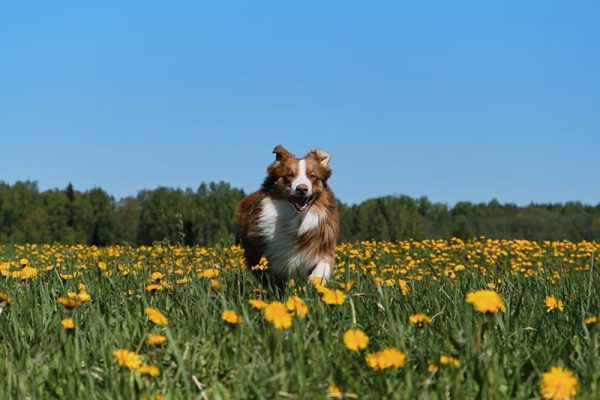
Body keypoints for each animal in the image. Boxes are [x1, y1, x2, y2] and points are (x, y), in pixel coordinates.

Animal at [234, 145, 338, 282]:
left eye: (313, 176)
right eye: (290, 175)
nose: (302, 189)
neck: (296, 218)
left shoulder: (323, 247)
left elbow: (323, 266)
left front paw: (315, 281)